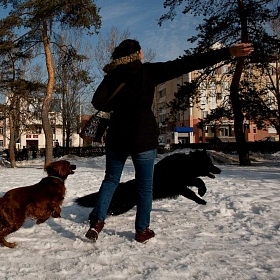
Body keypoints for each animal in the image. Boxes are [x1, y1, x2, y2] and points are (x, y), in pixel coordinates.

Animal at [75, 150, 221, 215]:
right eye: (209, 163)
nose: (219, 170)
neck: (187, 164)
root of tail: (122, 186)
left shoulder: (185, 182)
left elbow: (197, 180)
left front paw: (202, 191)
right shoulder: (180, 186)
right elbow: (194, 187)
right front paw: (201, 198)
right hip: (122, 205)